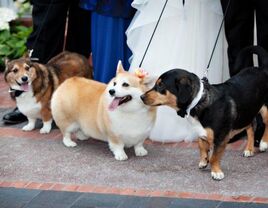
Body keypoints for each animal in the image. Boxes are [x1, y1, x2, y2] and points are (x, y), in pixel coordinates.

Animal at [141, 45, 268, 180]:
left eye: (161, 85)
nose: (141, 97)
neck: (198, 102)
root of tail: (263, 69)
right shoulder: (200, 131)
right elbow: (202, 146)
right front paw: (203, 161)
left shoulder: (220, 138)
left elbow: (215, 156)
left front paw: (216, 171)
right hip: (247, 113)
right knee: (251, 127)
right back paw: (249, 149)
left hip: (264, 109)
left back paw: (263, 143)